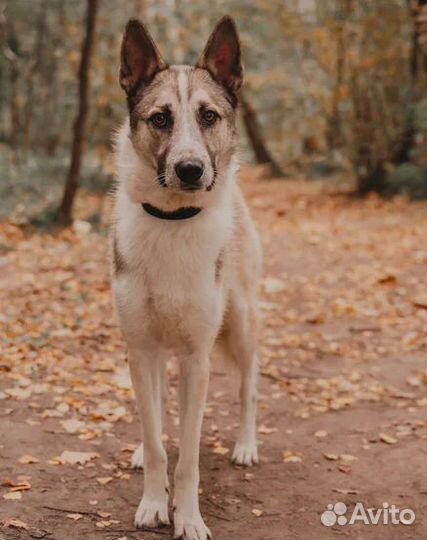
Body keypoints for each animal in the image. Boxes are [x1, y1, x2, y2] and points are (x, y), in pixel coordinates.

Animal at [112, 16, 262, 540]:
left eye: (209, 116)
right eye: (160, 118)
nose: (191, 169)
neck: (173, 222)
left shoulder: (198, 356)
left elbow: (189, 458)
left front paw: (189, 517)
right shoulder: (140, 349)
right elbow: (159, 439)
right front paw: (154, 503)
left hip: (240, 327)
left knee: (248, 389)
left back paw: (245, 444)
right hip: (155, 353)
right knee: (156, 409)